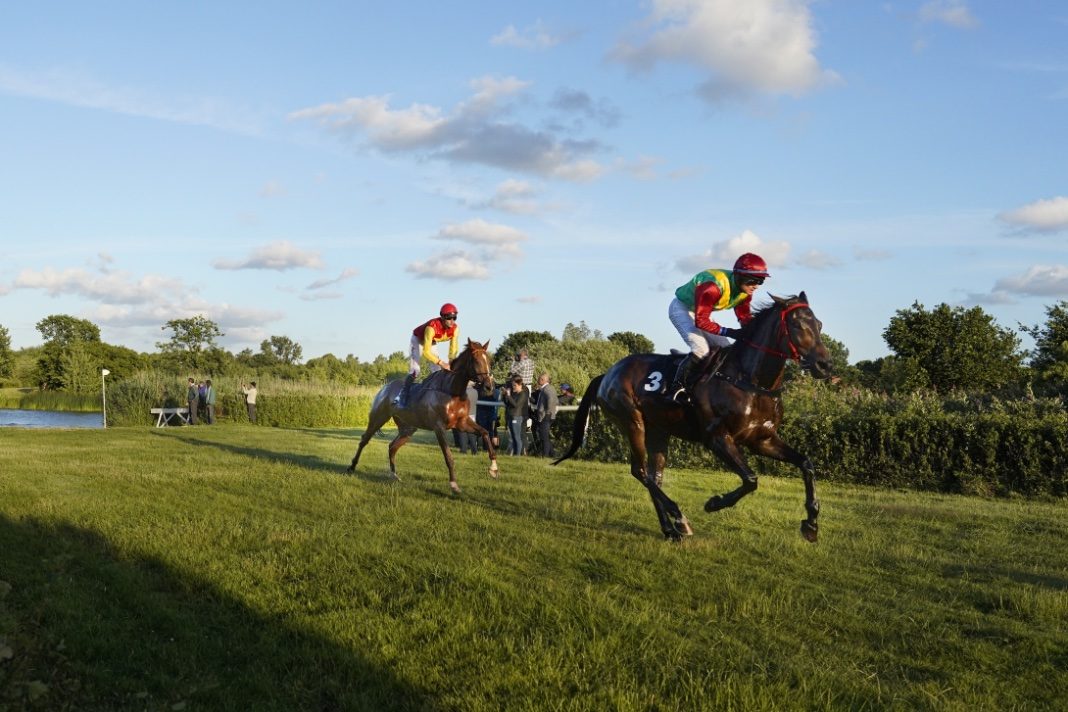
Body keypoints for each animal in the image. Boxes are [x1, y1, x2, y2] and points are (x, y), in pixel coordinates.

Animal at [350, 339, 499, 493]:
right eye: (475, 360)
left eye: (488, 360)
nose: (489, 386)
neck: (452, 391)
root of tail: (385, 388)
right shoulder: (439, 427)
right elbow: (449, 457)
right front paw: (454, 484)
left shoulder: (462, 423)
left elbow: (485, 432)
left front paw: (493, 468)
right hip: (378, 417)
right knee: (364, 440)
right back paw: (352, 466)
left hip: (407, 429)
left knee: (392, 446)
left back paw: (394, 475)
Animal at [555, 294, 837, 540]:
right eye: (797, 324)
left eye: (819, 324)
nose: (825, 365)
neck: (750, 381)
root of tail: (607, 374)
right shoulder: (717, 438)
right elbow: (750, 480)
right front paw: (714, 503)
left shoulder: (762, 439)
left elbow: (806, 464)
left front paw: (811, 524)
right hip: (632, 422)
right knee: (640, 471)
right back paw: (678, 516)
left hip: (658, 430)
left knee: (653, 477)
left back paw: (671, 529)